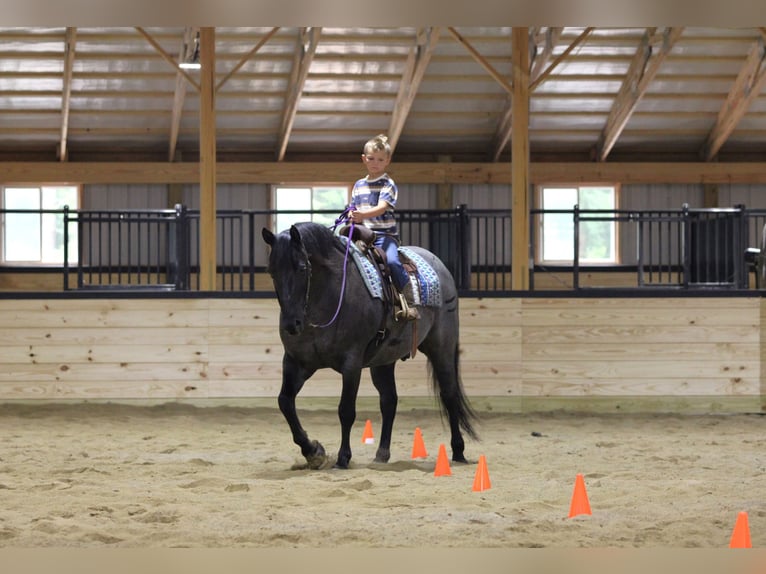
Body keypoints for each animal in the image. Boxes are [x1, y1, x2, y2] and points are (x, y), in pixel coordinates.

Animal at [261, 221, 478, 469]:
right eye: (272, 271)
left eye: (301, 268)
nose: (291, 324)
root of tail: (439, 266)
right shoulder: (296, 362)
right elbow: (285, 402)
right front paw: (313, 451)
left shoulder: (351, 363)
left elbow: (346, 410)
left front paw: (343, 458)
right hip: (383, 360)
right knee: (389, 400)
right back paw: (382, 453)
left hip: (441, 347)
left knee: (449, 394)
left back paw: (458, 451)